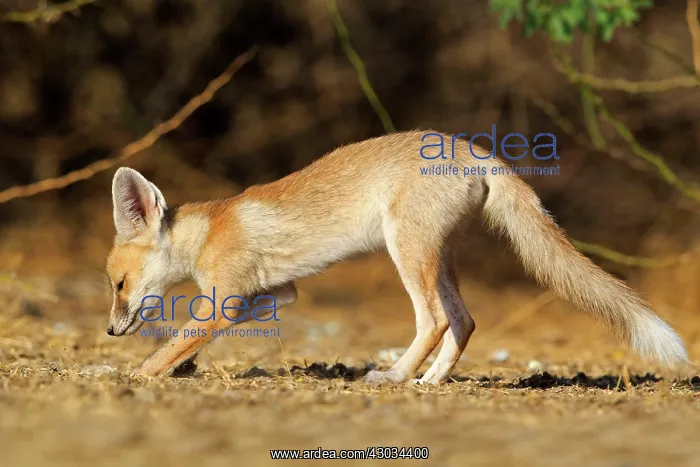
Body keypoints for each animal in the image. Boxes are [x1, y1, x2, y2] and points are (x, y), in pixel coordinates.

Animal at [105, 130, 688, 384]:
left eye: (117, 285)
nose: (110, 331)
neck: (209, 231)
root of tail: (472, 149)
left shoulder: (225, 299)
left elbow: (169, 347)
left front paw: (128, 375)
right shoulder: (273, 294)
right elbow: (187, 344)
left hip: (405, 251)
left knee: (434, 321)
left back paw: (395, 377)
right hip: (437, 257)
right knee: (464, 321)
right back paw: (430, 382)